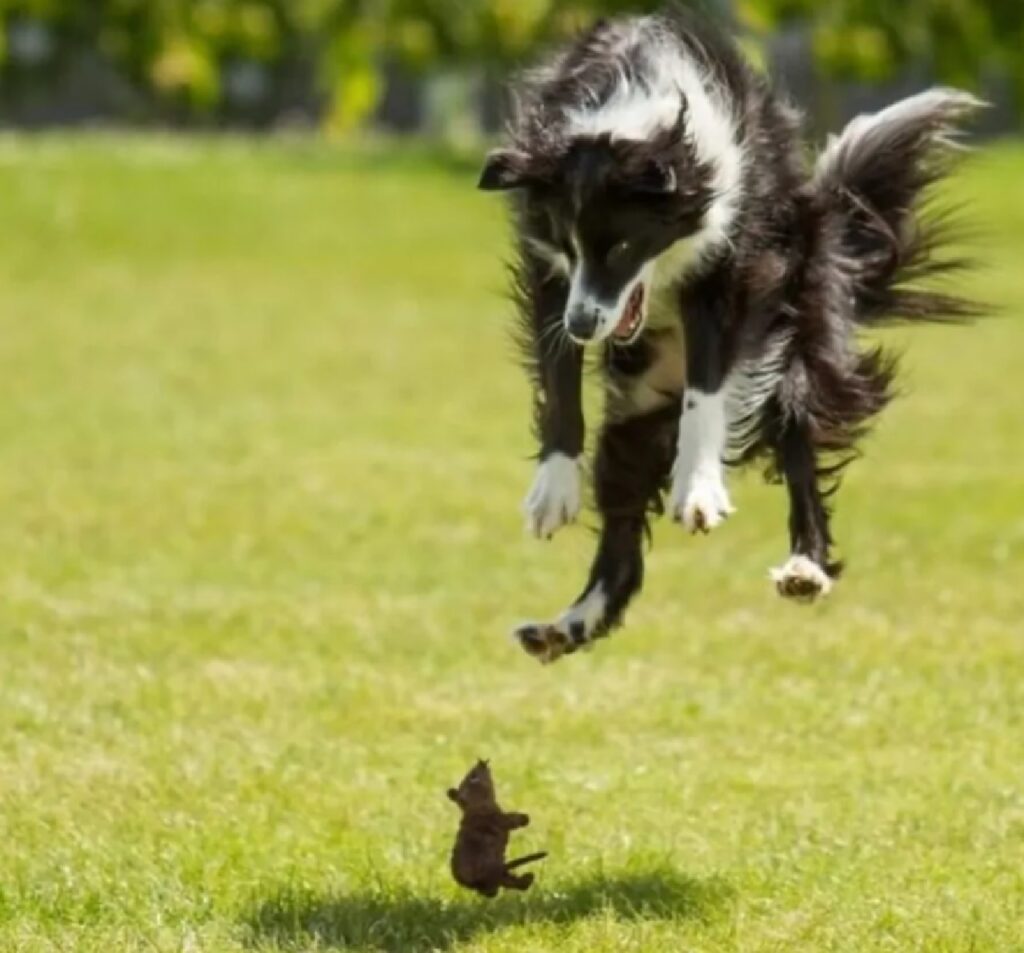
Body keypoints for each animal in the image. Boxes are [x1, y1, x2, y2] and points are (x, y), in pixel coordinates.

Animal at [446, 761, 548, 900]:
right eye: (473, 777)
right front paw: (525, 818)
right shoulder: (495, 818)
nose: (481, 762)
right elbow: (509, 820)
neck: (476, 807)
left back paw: (527, 878)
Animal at [479, 7, 983, 663]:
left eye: (621, 245)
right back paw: (566, 626)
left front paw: (698, 491)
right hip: (636, 412)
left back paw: (805, 568)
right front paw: (553, 489)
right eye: (568, 243)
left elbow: (707, 388)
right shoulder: (550, 275)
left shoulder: (732, 265)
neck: (630, 117)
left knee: (800, 449)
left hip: (799, 350)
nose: (586, 326)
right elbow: (559, 379)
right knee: (622, 534)